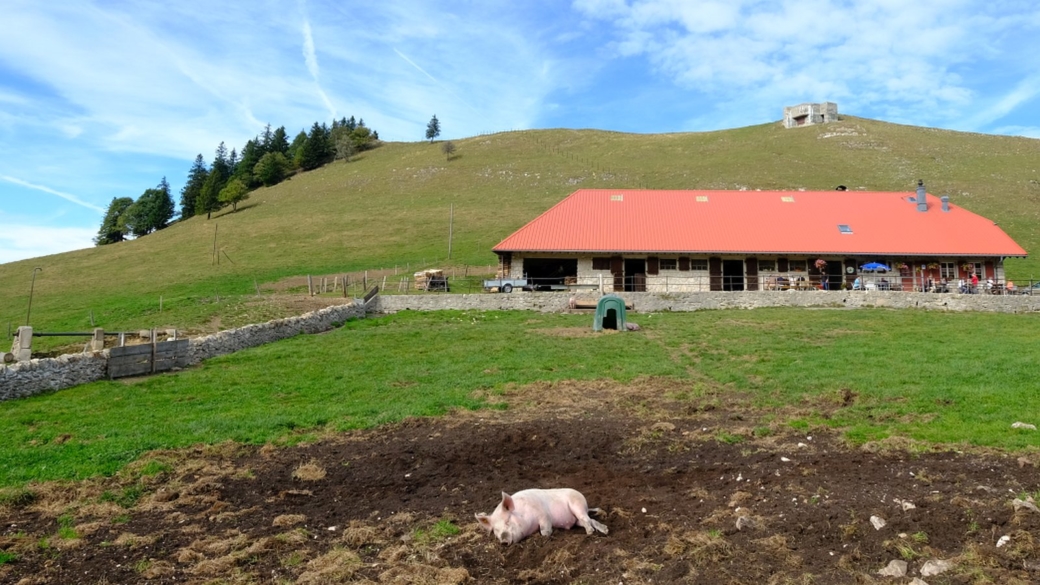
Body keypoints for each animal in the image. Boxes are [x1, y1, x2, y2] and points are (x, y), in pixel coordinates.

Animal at [474, 485, 607, 545]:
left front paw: (546, 536)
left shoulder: (544, 515)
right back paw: (605, 530)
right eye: (495, 530)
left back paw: (590, 532)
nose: (504, 541)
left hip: (577, 505)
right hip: (577, 518)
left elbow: (545, 530)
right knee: (589, 520)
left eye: (507, 521)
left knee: (587, 519)